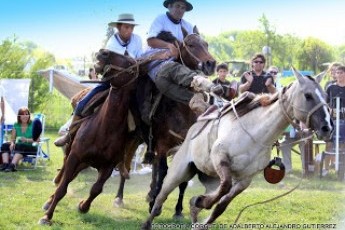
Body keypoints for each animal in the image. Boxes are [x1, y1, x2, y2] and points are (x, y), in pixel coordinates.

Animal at [38, 49, 144, 225]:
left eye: (130, 63)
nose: (103, 52)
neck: (105, 128)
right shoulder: (75, 156)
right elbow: (62, 188)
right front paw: (47, 216)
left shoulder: (108, 166)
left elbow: (96, 189)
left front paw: (83, 206)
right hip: (73, 155)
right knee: (64, 175)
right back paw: (49, 199)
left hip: (86, 163)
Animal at [141, 68, 332, 230]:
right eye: (308, 95)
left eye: (325, 96)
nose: (327, 127)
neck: (255, 133)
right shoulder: (220, 157)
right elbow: (225, 185)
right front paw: (200, 202)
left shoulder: (244, 180)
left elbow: (221, 205)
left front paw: (199, 205)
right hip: (180, 171)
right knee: (160, 197)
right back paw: (147, 222)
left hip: (209, 178)